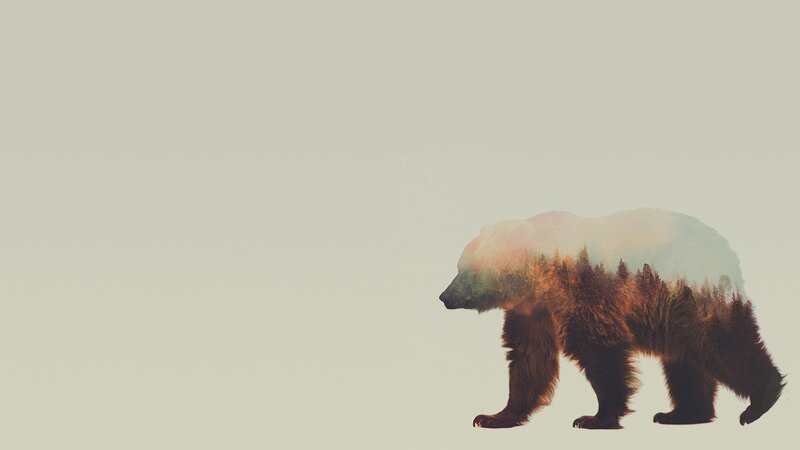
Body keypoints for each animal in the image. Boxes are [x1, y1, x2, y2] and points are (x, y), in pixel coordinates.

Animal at [439, 208, 784, 429]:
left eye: (463, 269)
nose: (444, 296)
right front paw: (494, 416)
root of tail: (728, 252)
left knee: (723, 345)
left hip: (692, 292)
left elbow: (599, 348)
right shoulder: (535, 308)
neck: (542, 271)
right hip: (674, 311)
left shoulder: (585, 289)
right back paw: (682, 413)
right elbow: (528, 356)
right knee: (684, 358)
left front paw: (594, 418)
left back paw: (760, 401)